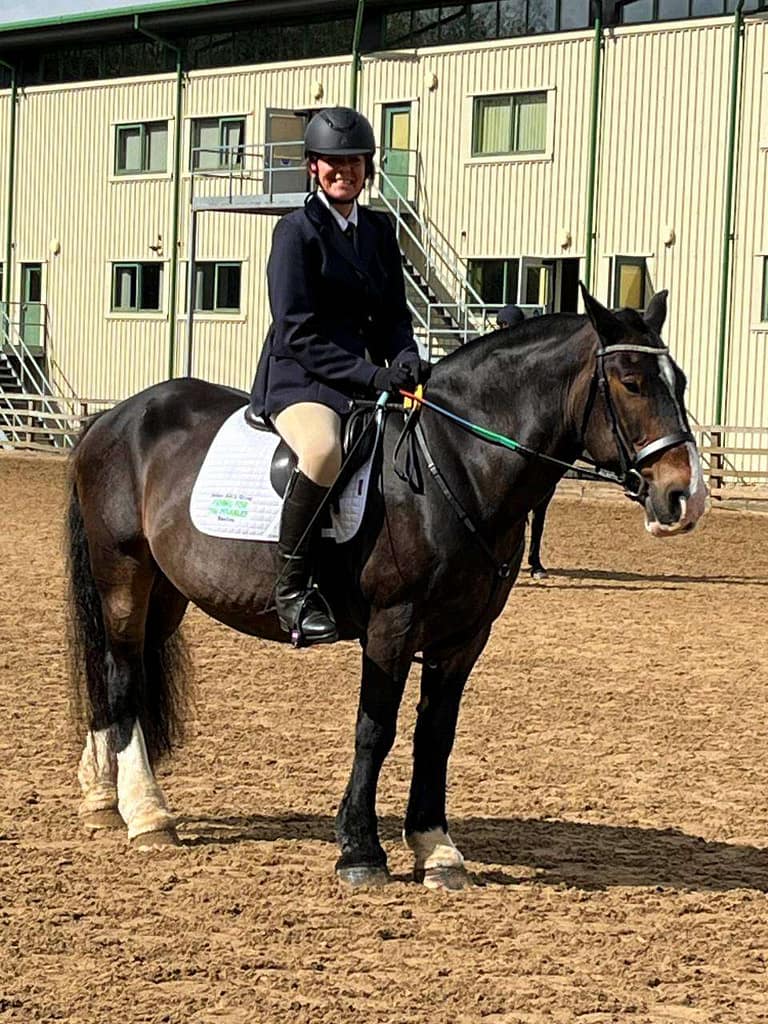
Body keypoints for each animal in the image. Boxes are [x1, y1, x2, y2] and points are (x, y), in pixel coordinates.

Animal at [66, 288, 707, 891]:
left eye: (680, 381)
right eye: (630, 382)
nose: (686, 497)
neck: (457, 462)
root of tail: (115, 417)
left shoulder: (463, 638)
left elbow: (436, 735)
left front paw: (436, 848)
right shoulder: (391, 626)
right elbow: (375, 730)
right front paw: (359, 850)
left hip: (166, 593)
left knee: (126, 671)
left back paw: (103, 797)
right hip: (124, 576)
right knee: (121, 673)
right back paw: (148, 815)